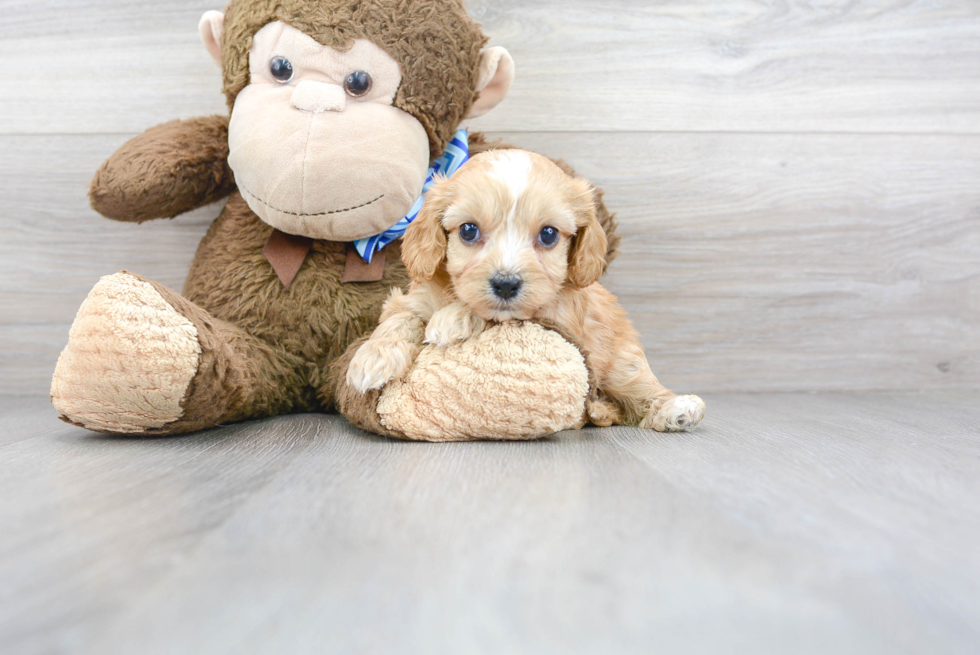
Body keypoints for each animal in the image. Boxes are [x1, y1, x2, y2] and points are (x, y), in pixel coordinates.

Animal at [344, 151, 704, 434]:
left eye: (548, 234)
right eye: (469, 230)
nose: (506, 283)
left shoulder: (554, 315)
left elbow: (491, 316)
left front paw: (451, 320)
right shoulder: (411, 299)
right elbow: (400, 318)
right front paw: (372, 358)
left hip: (621, 363)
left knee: (640, 390)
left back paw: (677, 410)